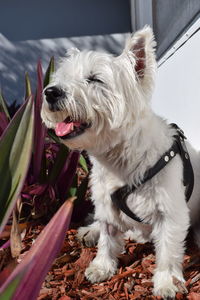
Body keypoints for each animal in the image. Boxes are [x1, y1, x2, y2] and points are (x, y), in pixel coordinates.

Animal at [41, 27, 200, 298]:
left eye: (95, 79)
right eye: (62, 77)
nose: (50, 92)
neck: (119, 159)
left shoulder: (170, 212)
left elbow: (168, 251)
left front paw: (167, 282)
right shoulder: (106, 201)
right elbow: (107, 237)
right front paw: (101, 266)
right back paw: (90, 230)